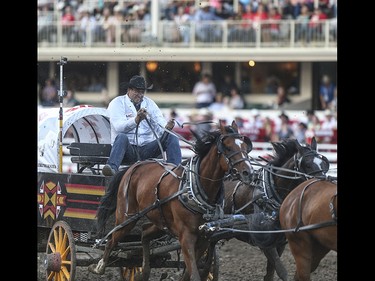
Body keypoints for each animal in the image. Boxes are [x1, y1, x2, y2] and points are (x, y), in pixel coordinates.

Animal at [88, 120, 256, 280]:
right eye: (227, 148)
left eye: (245, 147)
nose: (248, 173)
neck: (195, 189)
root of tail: (134, 165)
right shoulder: (186, 237)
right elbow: (194, 274)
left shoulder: (205, 238)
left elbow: (190, 272)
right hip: (127, 217)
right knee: (112, 239)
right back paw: (99, 267)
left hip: (160, 222)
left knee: (144, 233)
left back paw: (144, 271)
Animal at [222, 137, 330, 280]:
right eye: (307, 165)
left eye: (324, 164)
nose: (323, 185)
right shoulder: (264, 242)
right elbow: (281, 270)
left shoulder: (279, 242)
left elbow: (270, 272)